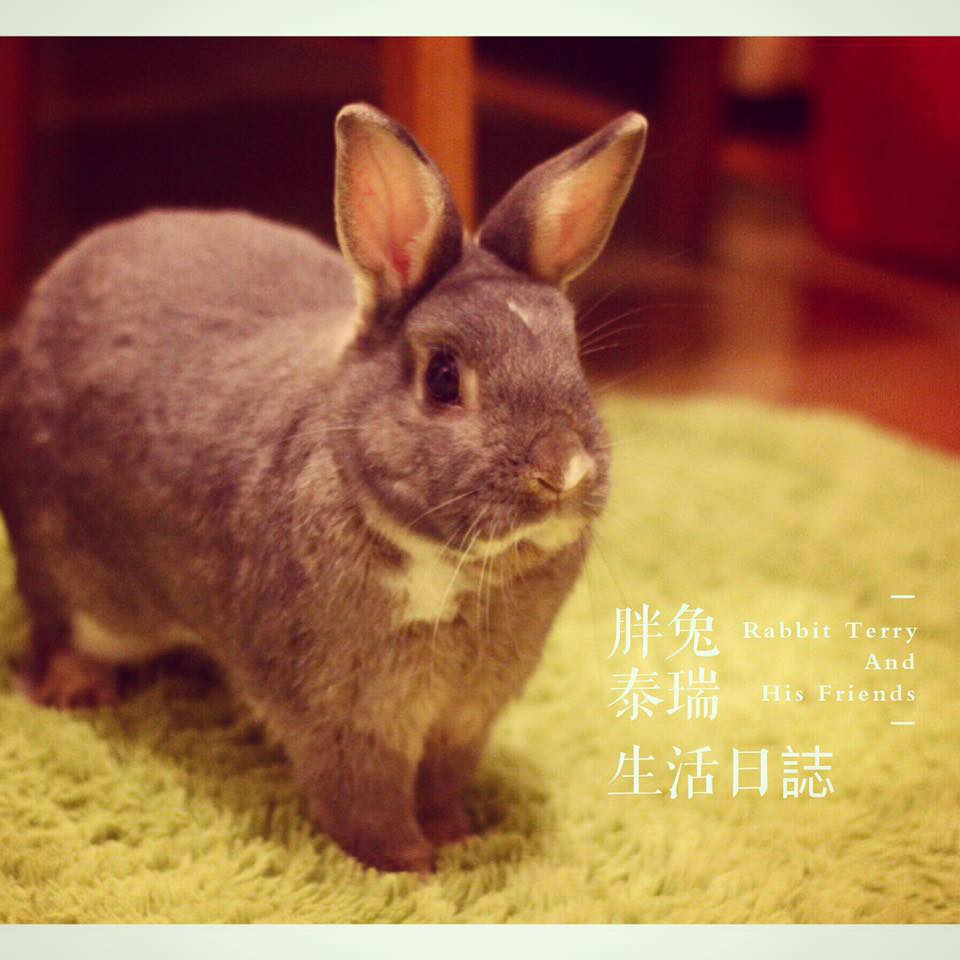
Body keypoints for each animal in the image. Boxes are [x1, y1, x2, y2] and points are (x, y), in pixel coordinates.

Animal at [0, 103, 647, 872]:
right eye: (443, 378)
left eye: (572, 356)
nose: (562, 472)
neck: (447, 565)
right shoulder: (345, 719)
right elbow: (364, 801)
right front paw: (412, 869)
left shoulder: (463, 717)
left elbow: (440, 783)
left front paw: (456, 838)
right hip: (69, 575)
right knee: (55, 634)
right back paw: (80, 693)